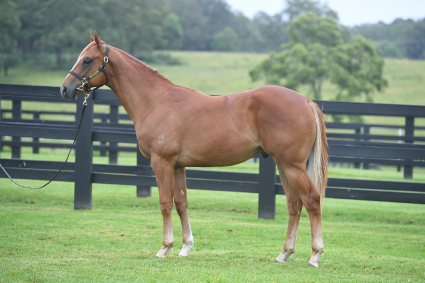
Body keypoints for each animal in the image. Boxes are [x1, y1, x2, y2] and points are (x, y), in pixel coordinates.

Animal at [59, 32, 328, 268]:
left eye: (87, 59)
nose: (65, 89)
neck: (156, 101)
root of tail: (306, 101)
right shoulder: (178, 166)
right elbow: (181, 203)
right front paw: (185, 247)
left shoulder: (162, 162)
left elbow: (165, 203)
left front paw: (165, 248)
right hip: (284, 166)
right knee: (294, 205)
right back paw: (284, 254)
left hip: (292, 166)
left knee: (312, 200)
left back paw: (314, 256)